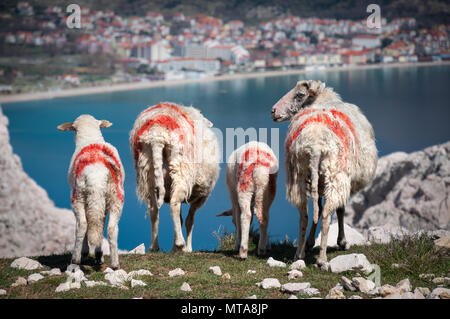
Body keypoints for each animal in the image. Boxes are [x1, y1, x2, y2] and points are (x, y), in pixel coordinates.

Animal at [58, 115, 125, 270]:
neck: (90, 136)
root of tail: (97, 175)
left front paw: (86, 253)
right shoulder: (101, 203)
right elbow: (100, 224)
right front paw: (99, 255)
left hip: (79, 196)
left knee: (82, 224)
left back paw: (75, 259)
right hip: (114, 196)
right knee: (111, 228)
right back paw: (114, 264)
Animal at [129, 102, 221, 252]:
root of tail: (157, 134)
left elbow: (182, 219)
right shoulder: (200, 196)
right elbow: (189, 221)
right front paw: (187, 248)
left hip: (147, 171)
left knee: (154, 210)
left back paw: (154, 246)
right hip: (180, 169)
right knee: (174, 203)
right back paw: (180, 243)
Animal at [268, 80, 378, 268]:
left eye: (299, 95)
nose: (273, 110)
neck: (322, 99)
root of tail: (315, 146)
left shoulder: (318, 183)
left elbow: (316, 209)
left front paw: (310, 243)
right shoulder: (343, 182)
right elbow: (339, 209)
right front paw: (342, 242)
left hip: (300, 176)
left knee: (305, 214)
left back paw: (299, 254)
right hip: (334, 176)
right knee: (326, 214)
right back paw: (322, 259)